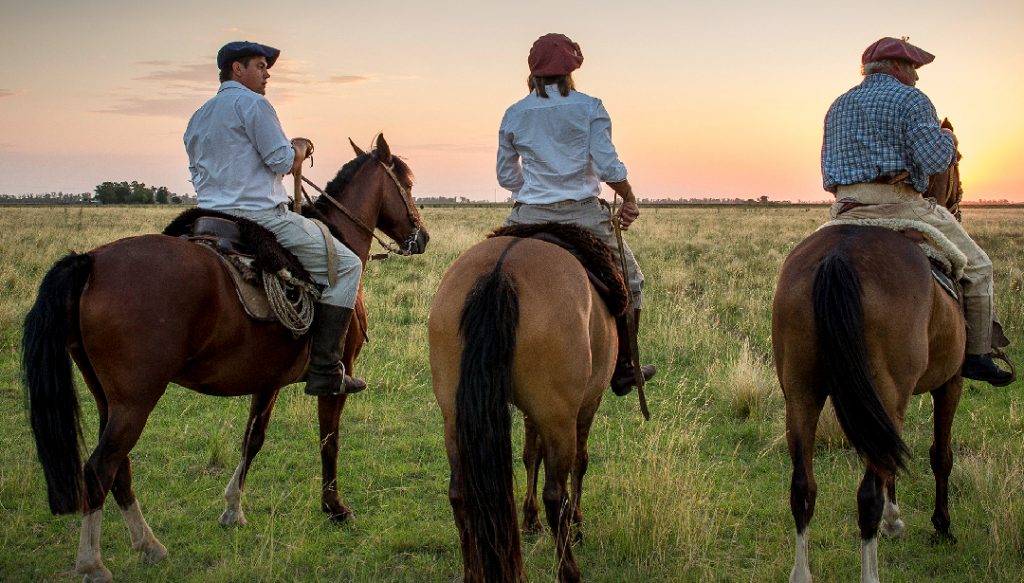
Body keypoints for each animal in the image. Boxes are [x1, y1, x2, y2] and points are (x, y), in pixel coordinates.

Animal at [20, 133, 428, 581]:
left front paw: (233, 508)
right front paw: (334, 508)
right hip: (135, 401)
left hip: (107, 399)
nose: (422, 238)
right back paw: (93, 563)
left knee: (118, 468)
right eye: (407, 183)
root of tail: (91, 261)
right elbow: (329, 439)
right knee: (99, 469)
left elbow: (253, 438)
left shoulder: (266, 380)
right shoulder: (338, 373)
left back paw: (148, 545)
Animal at [425, 232, 614, 581]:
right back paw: (570, 570)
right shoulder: (587, 403)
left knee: (459, 493)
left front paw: (529, 518)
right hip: (558, 418)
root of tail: (500, 270)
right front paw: (577, 524)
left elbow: (530, 453)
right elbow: (580, 462)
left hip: (454, 417)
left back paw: (473, 573)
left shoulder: (533, 410)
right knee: (556, 494)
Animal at [770, 159, 970, 581]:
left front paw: (899, 519)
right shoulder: (951, 381)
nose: (957, 200)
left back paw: (801, 573)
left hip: (801, 393)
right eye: (957, 160)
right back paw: (871, 571)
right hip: (886, 394)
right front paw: (941, 526)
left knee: (803, 488)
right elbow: (940, 455)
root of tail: (839, 256)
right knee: (866, 498)